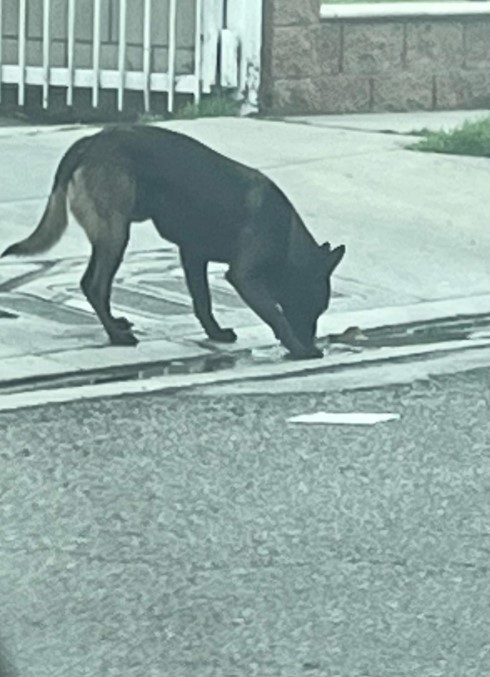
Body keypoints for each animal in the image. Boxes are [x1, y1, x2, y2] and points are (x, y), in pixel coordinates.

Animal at [1, 125, 344, 360]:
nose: (312, 340)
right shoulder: (244, 277)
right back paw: (116, 336)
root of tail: (90, 141)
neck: (288, 240)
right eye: (315, 305)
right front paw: (299, 349)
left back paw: (116, 325)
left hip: (109, 236)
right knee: (96, 286)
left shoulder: (193, 256)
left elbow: (203, 301)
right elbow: (276, 315)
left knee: (89, 283)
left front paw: (214, 333)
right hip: (116, 235)